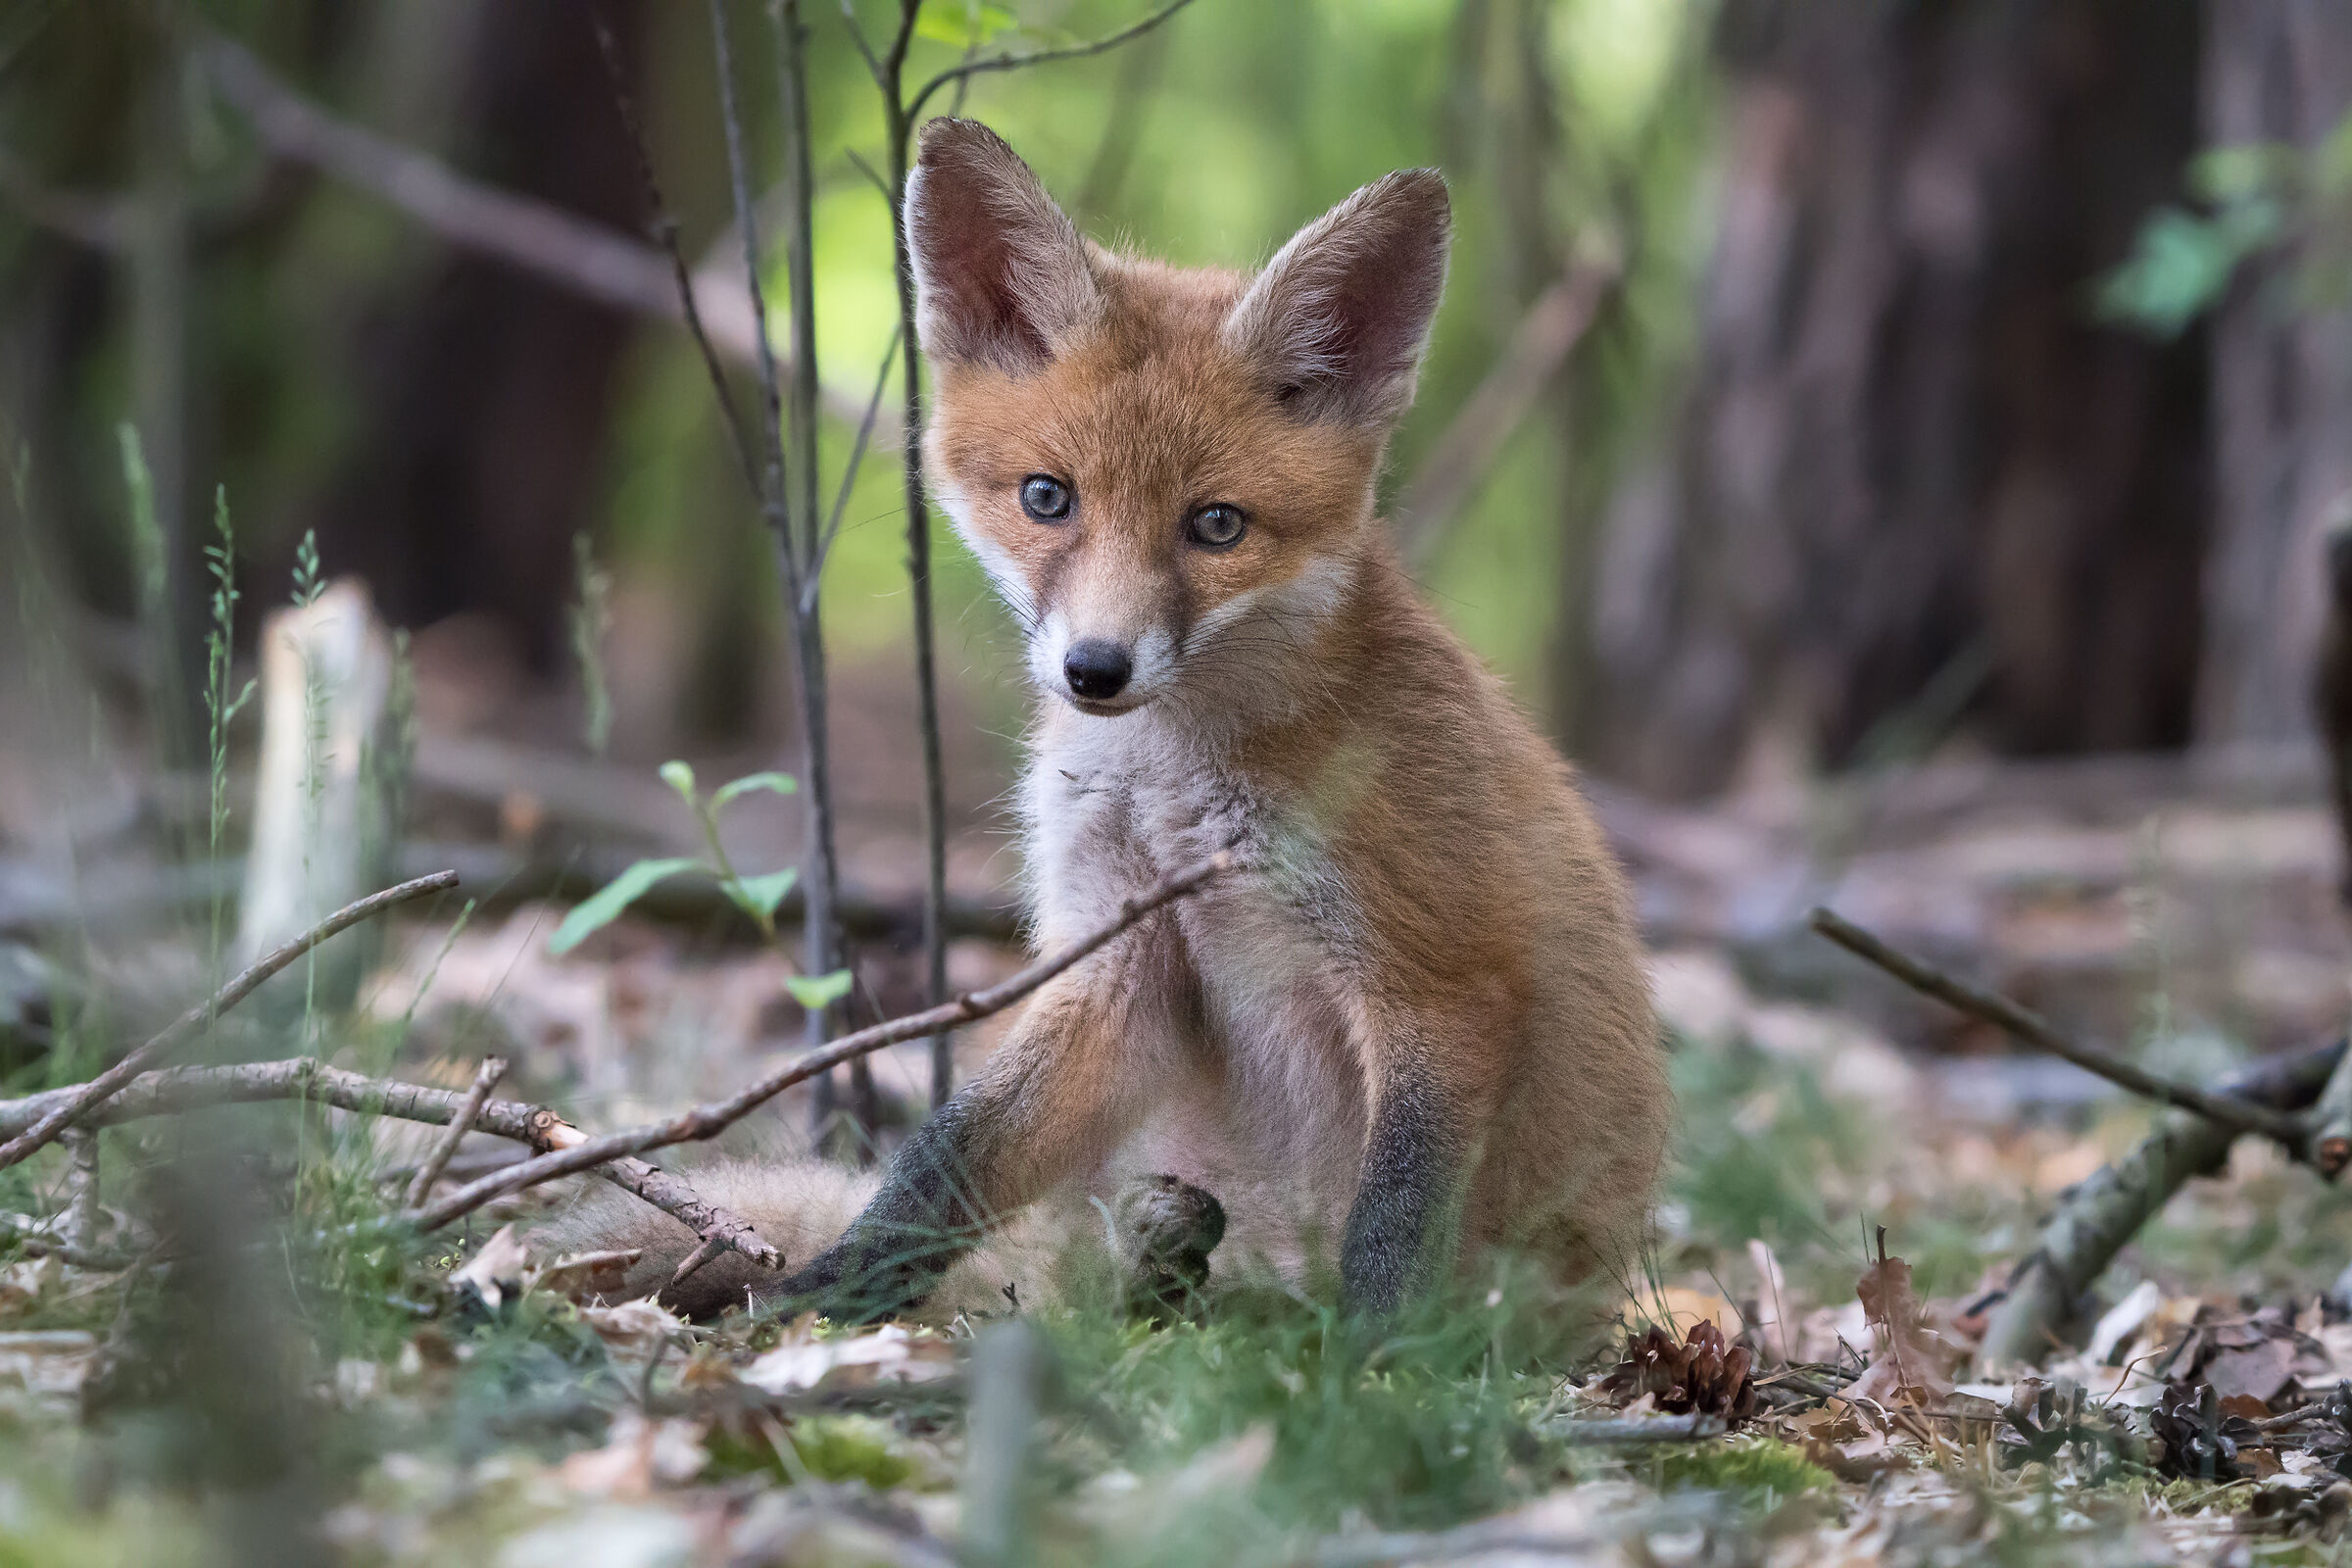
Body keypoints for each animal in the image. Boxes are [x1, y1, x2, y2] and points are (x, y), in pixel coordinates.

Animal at [562, 119, 1668, 1323]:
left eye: (1216, 526)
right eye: (1048, 498)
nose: (1094, 669)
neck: (1174, 782)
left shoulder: (1440, 976)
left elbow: (1394, 1224)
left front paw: (1371, 1366)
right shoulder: (1120, 951)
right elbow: (947, 1150)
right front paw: (833, 1293)